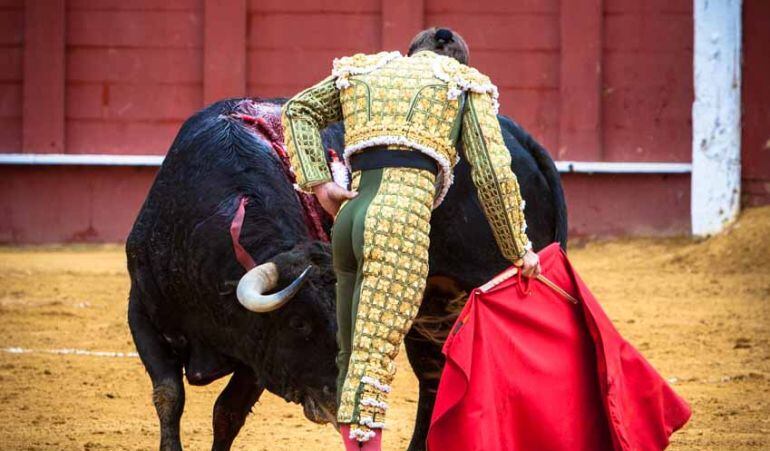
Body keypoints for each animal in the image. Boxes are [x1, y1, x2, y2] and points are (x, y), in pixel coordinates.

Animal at [127, 99, 564, 451]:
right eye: (300, 324)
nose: (338, 403)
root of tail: (519, 139)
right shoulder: (143, 313)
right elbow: (169, 396)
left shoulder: (257, 353)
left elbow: (226, 412)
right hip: (432, 310)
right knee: (433, 378)